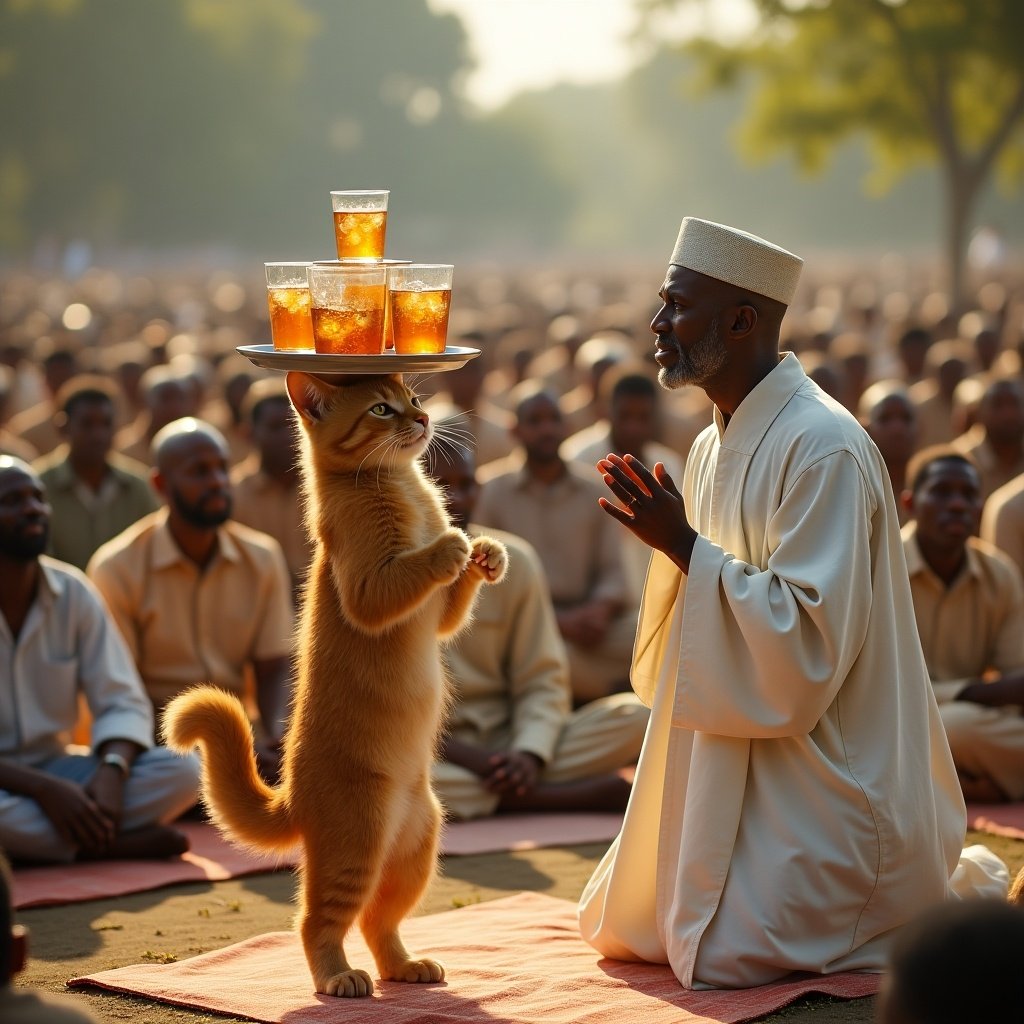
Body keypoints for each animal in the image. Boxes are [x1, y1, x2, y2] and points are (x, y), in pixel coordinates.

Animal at [162, 372, 507, 995]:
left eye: (413, 398)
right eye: (381, 409)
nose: (422, 420)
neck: (401, 484)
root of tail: (292, 797)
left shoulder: (439, 619)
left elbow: (452, 606)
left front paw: (486, 553)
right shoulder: (368, 588)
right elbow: (409, 573)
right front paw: (451, 545)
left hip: (418, 844)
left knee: (377, 920)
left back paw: (406, 966)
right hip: (357, 838)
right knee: (314, 921)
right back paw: (339, 977)